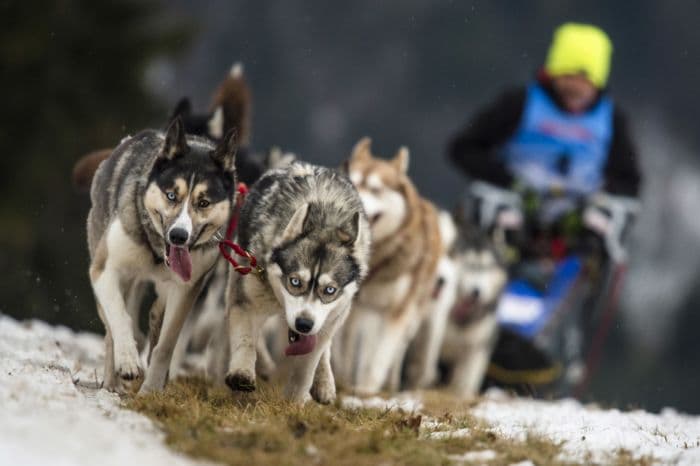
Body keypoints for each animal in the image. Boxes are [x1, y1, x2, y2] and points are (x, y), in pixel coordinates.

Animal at [86, 117, 239, 394]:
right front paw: (128, 362)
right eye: (171, 195)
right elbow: (120, 317)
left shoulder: (186, 288)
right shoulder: (105, 270)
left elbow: (166, 344)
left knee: (157, 312)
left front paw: (152, 388)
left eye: (204, 202)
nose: (179, 235)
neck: (157, 253)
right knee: (112, 328)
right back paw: (112, 382)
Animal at [221, 162, 370, 402]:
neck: (323, 218)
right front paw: (242, 372)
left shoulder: (329, 317)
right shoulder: (247, 300)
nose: (303, 324)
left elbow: (307, 365)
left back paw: (324, 383)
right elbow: (246, 340)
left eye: (330, 290)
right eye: (295, 282)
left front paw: (295, 399)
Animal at [336, 137, 440, 394]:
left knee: (395, 352)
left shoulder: (397, 312)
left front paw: (367, 390)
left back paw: (389, 383)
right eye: (352, 182)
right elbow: (344, 350)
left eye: (375, 190)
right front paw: (343, 380)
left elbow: (382, 355)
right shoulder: (351, 305)